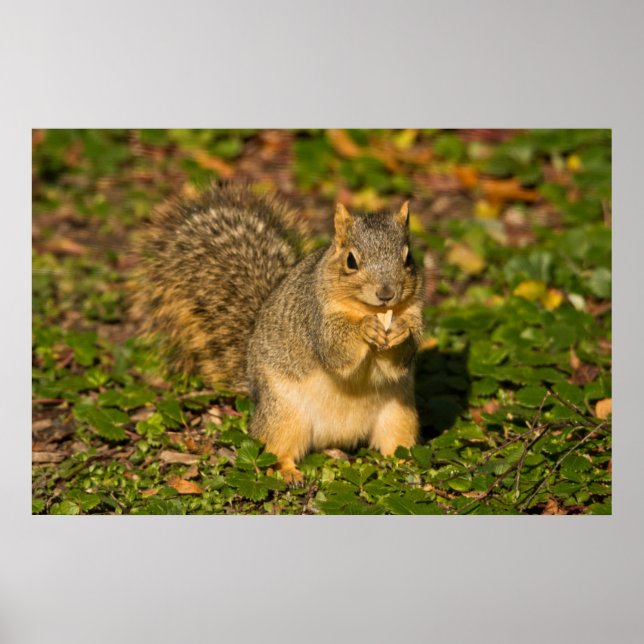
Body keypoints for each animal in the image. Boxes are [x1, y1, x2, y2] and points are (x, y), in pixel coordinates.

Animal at [134, 184, 424, 485]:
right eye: (351, 261)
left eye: (408, 258)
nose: (386, 293)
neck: (369, 309)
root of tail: (336, 437)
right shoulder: (315, 318)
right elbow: (336, 349)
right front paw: (365, 328)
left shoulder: (414, 311)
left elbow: (400, 360)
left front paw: (401, 332)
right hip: (283, 415)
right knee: (275, 449)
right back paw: (287, 471)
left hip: (399, 415)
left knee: (395, 444)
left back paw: (407, 465)